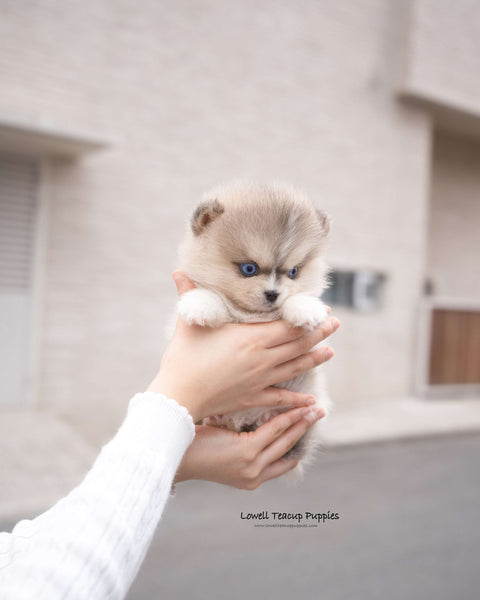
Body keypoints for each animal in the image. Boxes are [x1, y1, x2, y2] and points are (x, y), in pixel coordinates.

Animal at [175, 182, 330, 474]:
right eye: (249, 268)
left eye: (293, 272)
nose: (272, 294)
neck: (251, 316)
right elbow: (211, 295)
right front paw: (200, 305)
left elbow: (298, 298)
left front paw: (304, 307)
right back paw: (216, 418)